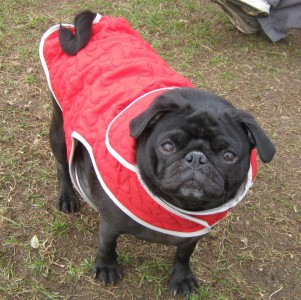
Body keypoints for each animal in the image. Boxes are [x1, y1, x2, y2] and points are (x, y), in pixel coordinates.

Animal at [39, 10, 274, 296]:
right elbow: (107, 244)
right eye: (167, 146)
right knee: (63, 164)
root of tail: (97, 22)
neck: (177, 206)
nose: (196, 157)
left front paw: (182, 277)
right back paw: (67, 197)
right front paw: (106, 266)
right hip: (60, 128)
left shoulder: (191, 236)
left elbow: (183, 254)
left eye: (228, 156)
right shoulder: (111, 223)